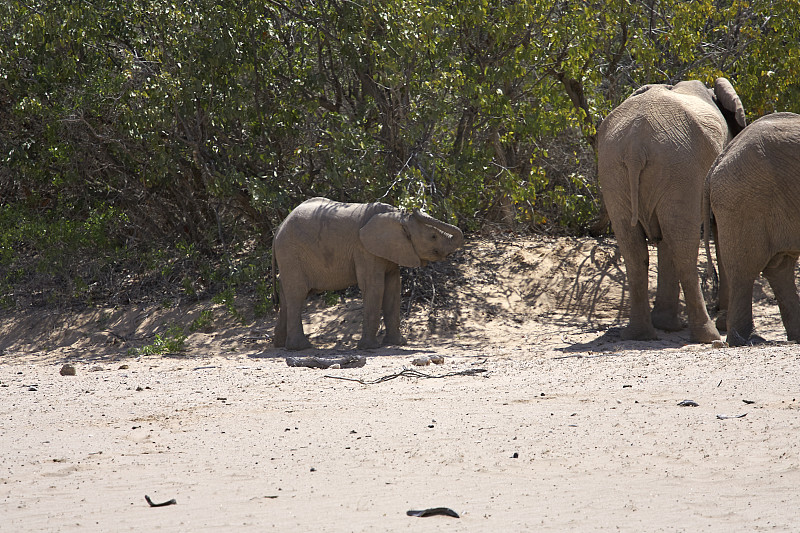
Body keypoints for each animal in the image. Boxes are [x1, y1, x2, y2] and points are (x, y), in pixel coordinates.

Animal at [274, 195, 462, 350]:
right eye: (433, 236)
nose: (413, 209)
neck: (396, 217)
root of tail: (278, 228)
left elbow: (393, 289)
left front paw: (398, 343)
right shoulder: (364, 250)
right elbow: (375, 288)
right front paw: (370, 348)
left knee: (285, 296)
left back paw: (280, 345)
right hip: (291, 253)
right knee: (297, 295)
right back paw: (301, 348)